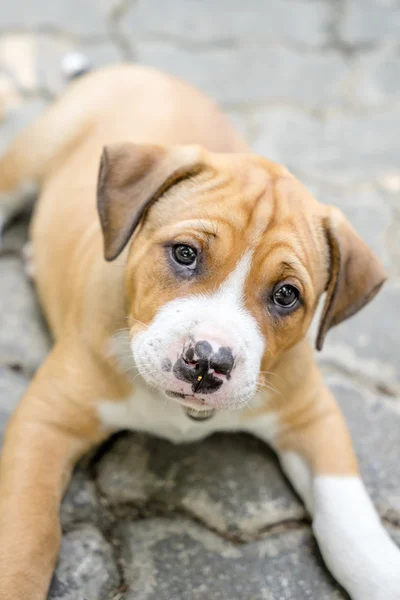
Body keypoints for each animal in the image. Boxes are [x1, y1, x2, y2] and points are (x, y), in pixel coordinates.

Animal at [0, 63, 398, 596]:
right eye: (185, 253)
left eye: (286, 295)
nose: (208, 361)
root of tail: (145, 71)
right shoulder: (46, 420)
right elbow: (28, 535)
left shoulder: (312, 414)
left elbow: (351, 523)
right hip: (29, 156)